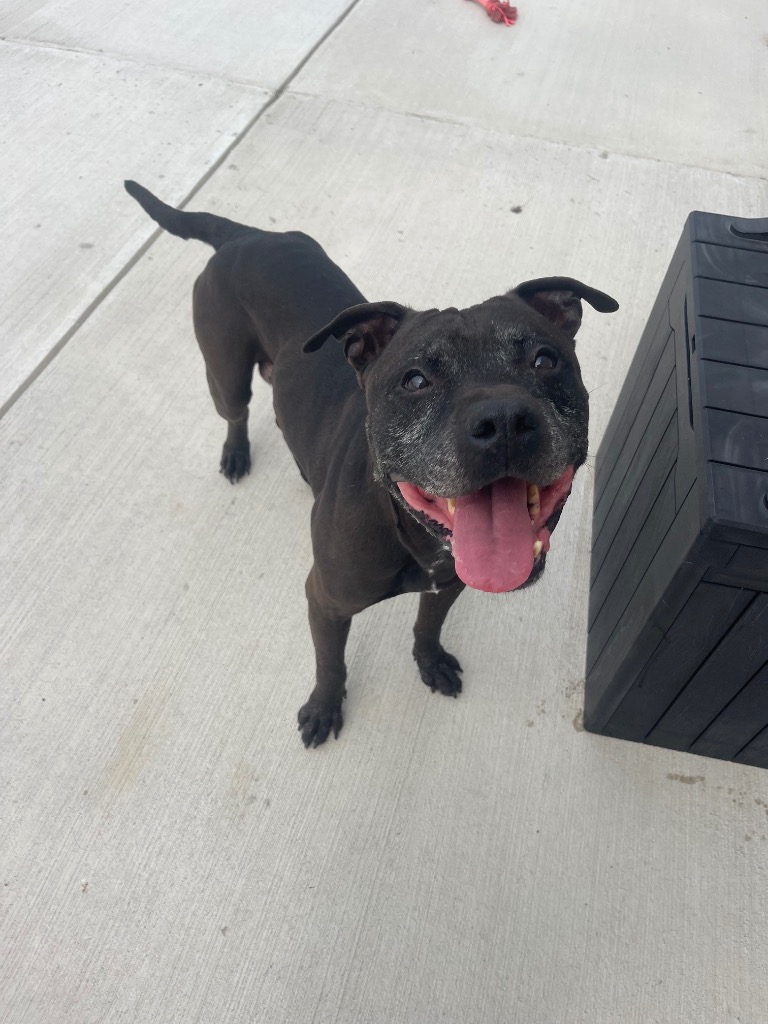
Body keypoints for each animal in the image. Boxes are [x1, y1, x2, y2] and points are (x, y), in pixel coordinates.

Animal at [125, 180, 618, 746]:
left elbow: (426, 625)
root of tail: (246, 235)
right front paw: (323, 707)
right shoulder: (324, 600)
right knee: (237, 411)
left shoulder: (448, 586)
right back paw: (235, 452)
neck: (411, 534)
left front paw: (430, 662)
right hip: (225, 373)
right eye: (415, 380)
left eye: (544, 359)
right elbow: (330, 663)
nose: (504, 420)